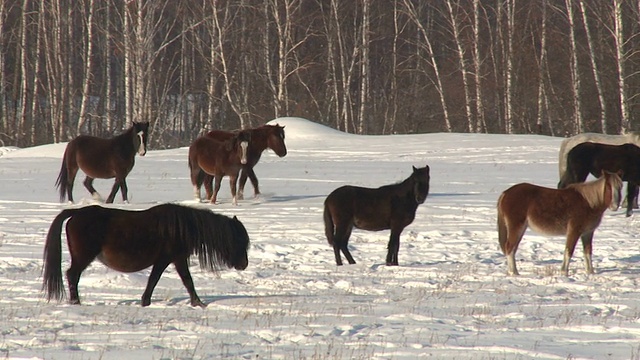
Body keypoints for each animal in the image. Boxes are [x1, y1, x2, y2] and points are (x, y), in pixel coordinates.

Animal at [42, 204, 250, 308]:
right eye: (238, 240)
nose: (244, 265)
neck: (181, 227)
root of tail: (76, 213)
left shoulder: (171, 260)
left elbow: (164, 280)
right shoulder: (171, 259)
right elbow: (178, 280)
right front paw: (198, 303)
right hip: (83, 257)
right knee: (72, 275)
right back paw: (76, 302)